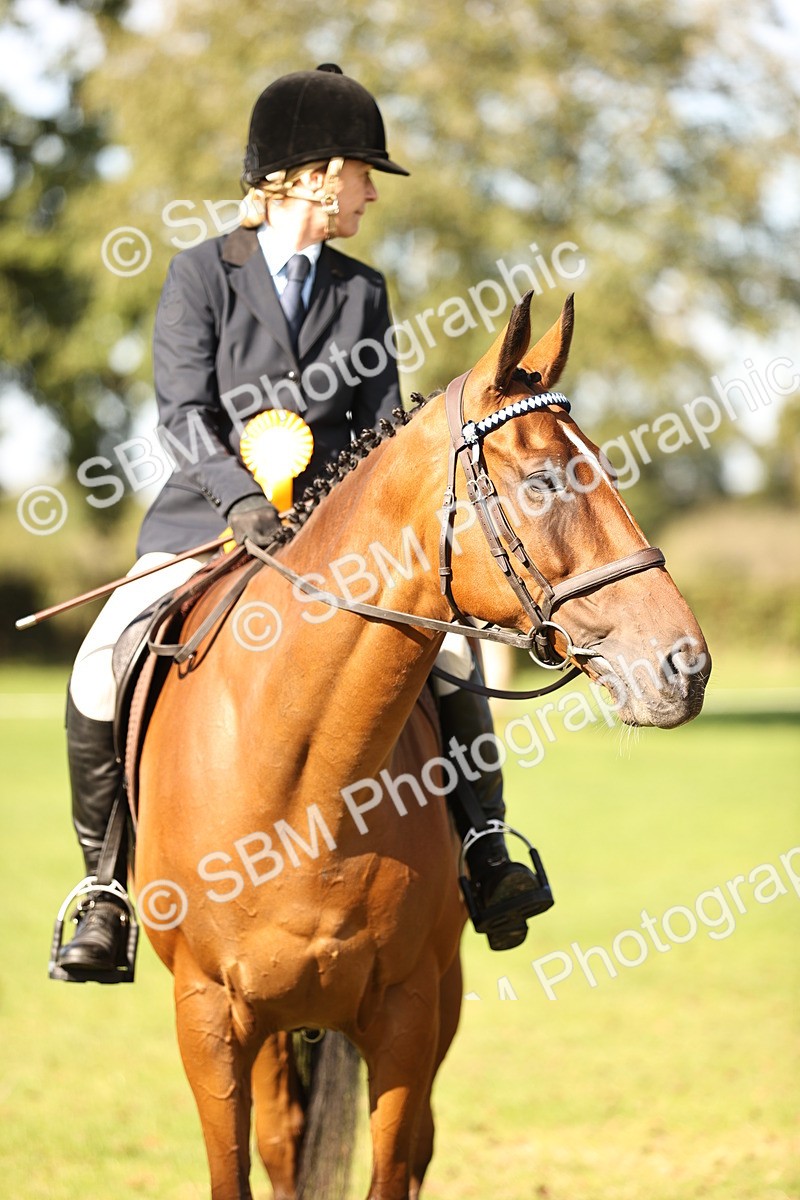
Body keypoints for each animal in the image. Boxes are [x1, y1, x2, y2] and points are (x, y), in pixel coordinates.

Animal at [133, 291, 710, 1200]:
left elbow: (393, 1166)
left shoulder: (405, 1012)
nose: (685, 666)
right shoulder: (209, 1019)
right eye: (545, 481)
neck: (305, 783)